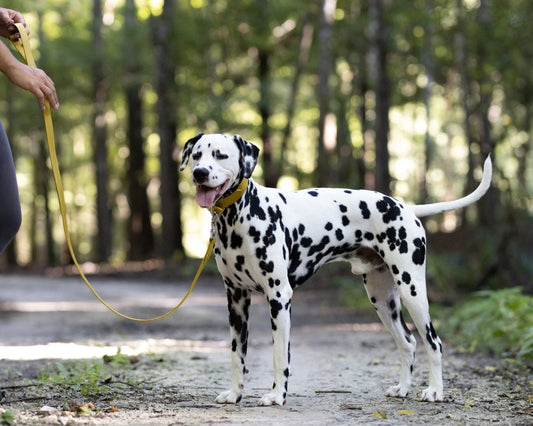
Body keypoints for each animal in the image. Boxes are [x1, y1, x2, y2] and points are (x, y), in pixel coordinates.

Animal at [181, 132, 492, 406]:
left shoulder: (279, 297)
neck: (240, 217)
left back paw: (435, 391)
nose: (199, 173)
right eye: (196, 155)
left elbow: (280, 355)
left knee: (433, 342)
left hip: (412, 291)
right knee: (408, 343)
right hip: (383, 301)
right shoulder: (236, 299)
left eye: (220, 155)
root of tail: (405, 207)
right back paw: (402, 389)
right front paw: (234, 394)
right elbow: (237, 355)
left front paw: (277, 396)